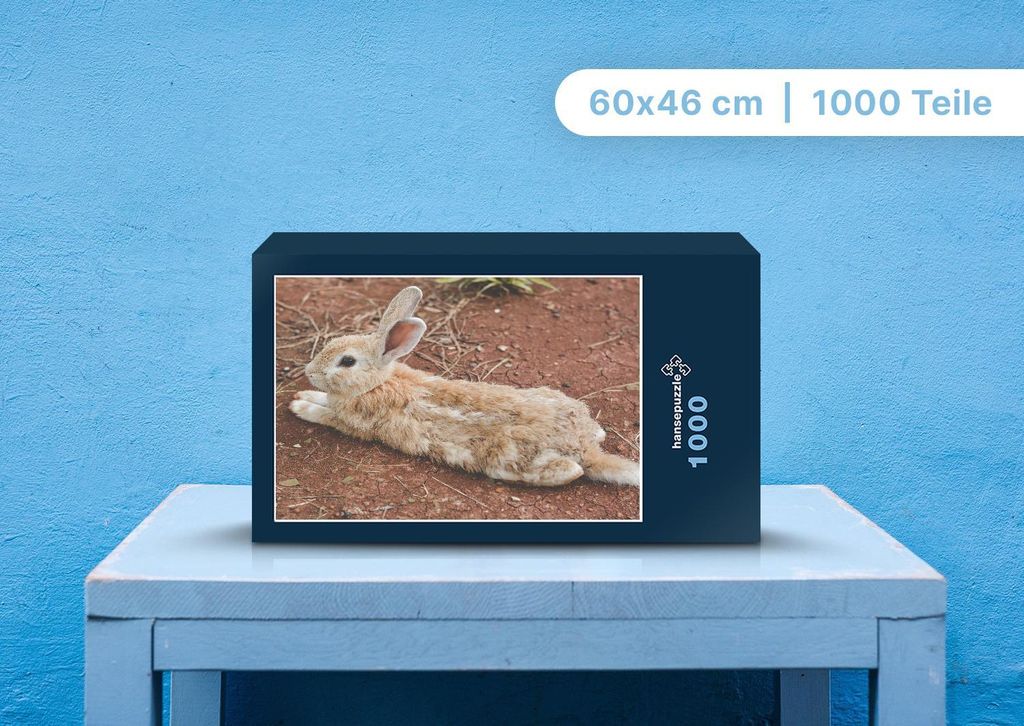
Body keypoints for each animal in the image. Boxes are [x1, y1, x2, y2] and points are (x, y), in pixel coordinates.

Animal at [289, 285, 639, 488]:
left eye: (347, 362)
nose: (309, 371)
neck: (376, 383)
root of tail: (584, 448)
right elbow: (324, 400)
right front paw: (304, 394)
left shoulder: (353, 423)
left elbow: (324, 415)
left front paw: (299, 405)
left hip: (510, 460)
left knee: (570, 472)